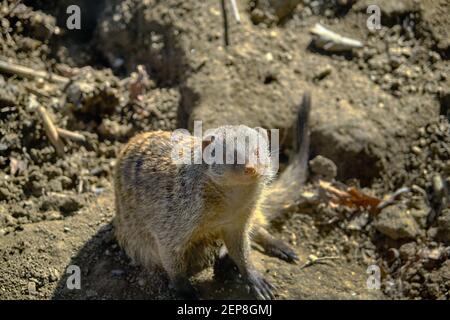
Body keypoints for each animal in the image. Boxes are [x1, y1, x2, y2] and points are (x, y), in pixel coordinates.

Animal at [113, 91, 310, 298]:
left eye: (257, 151)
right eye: (230, 155)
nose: (251, 168)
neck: (229, 201)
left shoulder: (242, 215)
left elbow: (240, 244)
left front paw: (252, 276)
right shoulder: (176, 214)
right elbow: (169, 250)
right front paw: (185, 289)